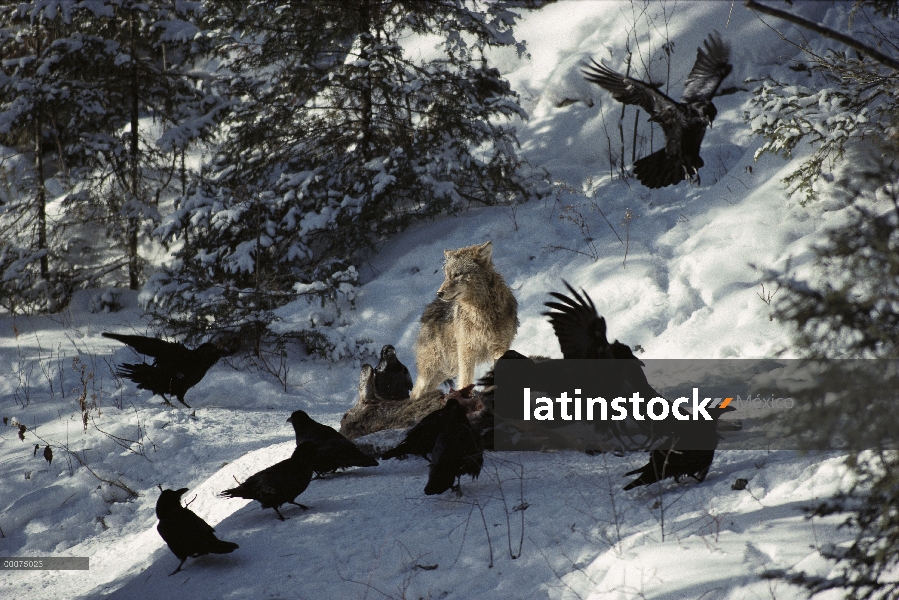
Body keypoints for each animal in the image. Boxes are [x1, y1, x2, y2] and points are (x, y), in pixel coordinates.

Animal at [412, 239, 516, 398]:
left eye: (457, 274)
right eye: (446, 275)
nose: (439, 293)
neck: (480, 314)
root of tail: (427, 309)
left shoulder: (499, 347)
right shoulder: (466, 351)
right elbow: (466, 381)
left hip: (448, 369)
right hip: (432, 366)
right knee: (415, 391)